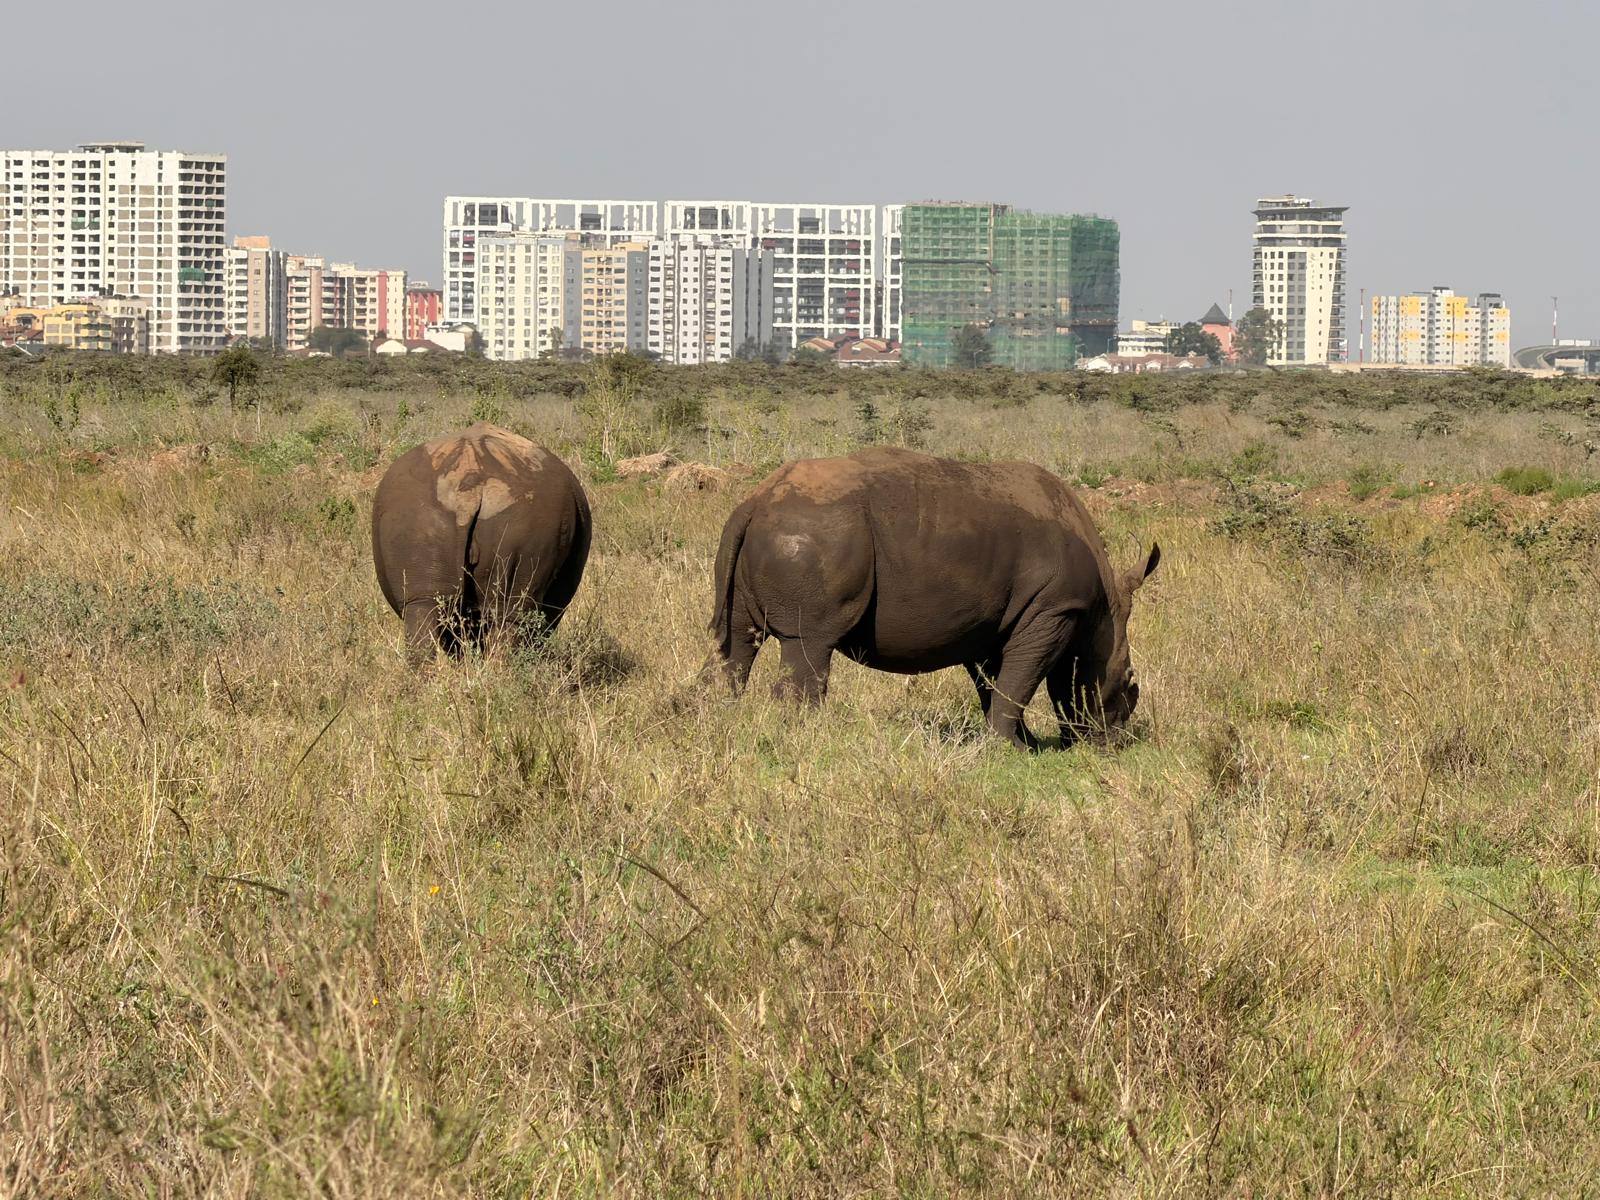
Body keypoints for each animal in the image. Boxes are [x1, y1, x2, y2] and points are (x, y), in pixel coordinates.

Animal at [709, 447, 1158, 748]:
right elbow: (1021, 679)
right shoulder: (1054, 609)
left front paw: (1020, 743)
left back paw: (721, 716)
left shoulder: (998, 620)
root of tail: (754, 501)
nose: (1115, 743)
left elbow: (996, 682)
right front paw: (1010, 749)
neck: (1103, 611)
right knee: (810, 642)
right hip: (815, 538)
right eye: (1130, 683)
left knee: (737, 643)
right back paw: (809, 736)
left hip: (775, 535)